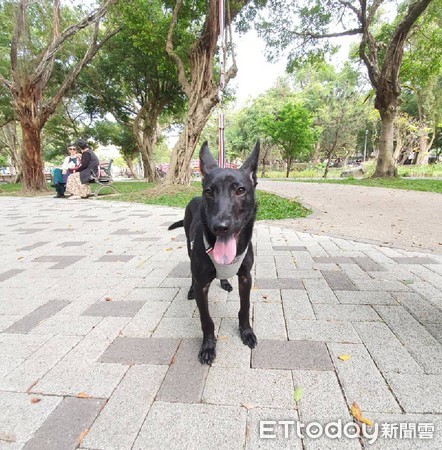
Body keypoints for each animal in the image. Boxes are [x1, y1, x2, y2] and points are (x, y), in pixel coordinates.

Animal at [168, 142, 258, 364]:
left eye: (240, 190)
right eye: (209, 192)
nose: (220, 227)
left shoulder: (246, 277)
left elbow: (245, 308)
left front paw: (246, 332)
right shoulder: (203, 285)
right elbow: (206, 319)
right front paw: (208, 346)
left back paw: (224, 281)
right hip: (189, 248)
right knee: (192, 274)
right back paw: (191, 289)